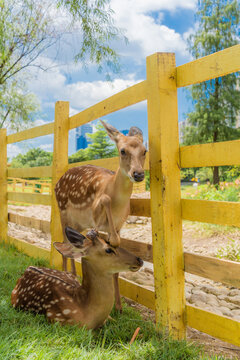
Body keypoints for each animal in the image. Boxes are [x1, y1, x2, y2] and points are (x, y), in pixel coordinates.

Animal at [54, 120, 146, 310]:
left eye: (145, 151)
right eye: (122, 150)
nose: (138, 174)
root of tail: (56, 184)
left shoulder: (119, 225)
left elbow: (116, 268)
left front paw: (118, 306)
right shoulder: (96, 216)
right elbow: (104, 203)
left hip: (78, 223)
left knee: (71, 243)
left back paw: (73, 275)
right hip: (62, 211)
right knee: (64, 243)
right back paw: (65, 273)